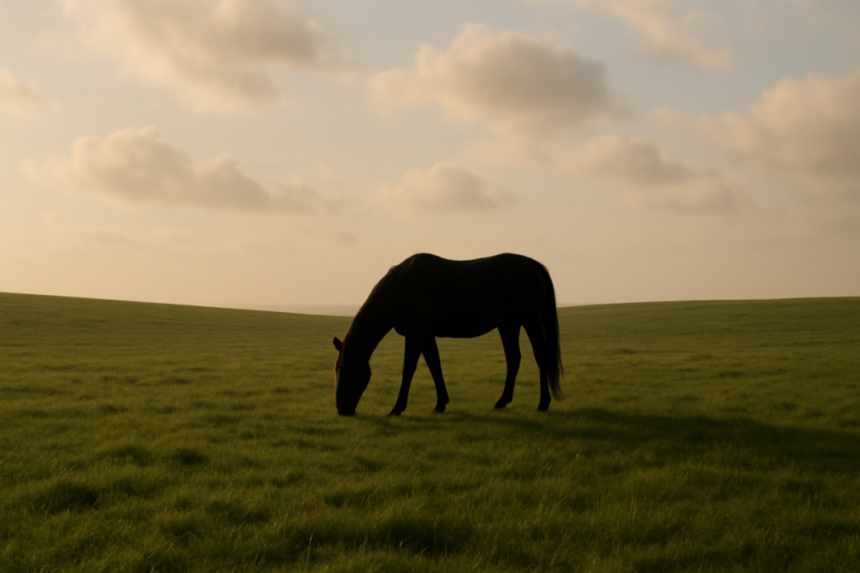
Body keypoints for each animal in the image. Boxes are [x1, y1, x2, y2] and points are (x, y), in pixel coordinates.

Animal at [332, 253, 564, 416]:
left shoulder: (415, 335)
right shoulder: (425, 335)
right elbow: (434, 365)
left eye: (347, 369)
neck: (400, 288)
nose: (342, 409)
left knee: (541, 356)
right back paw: (502, 401)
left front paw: (397, 408)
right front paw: (440, 403)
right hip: (508, 324)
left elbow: (409, 370)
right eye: (337, 369)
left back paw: (543, 403)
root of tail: (535, 266)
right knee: (514, 358)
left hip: (529, 320)